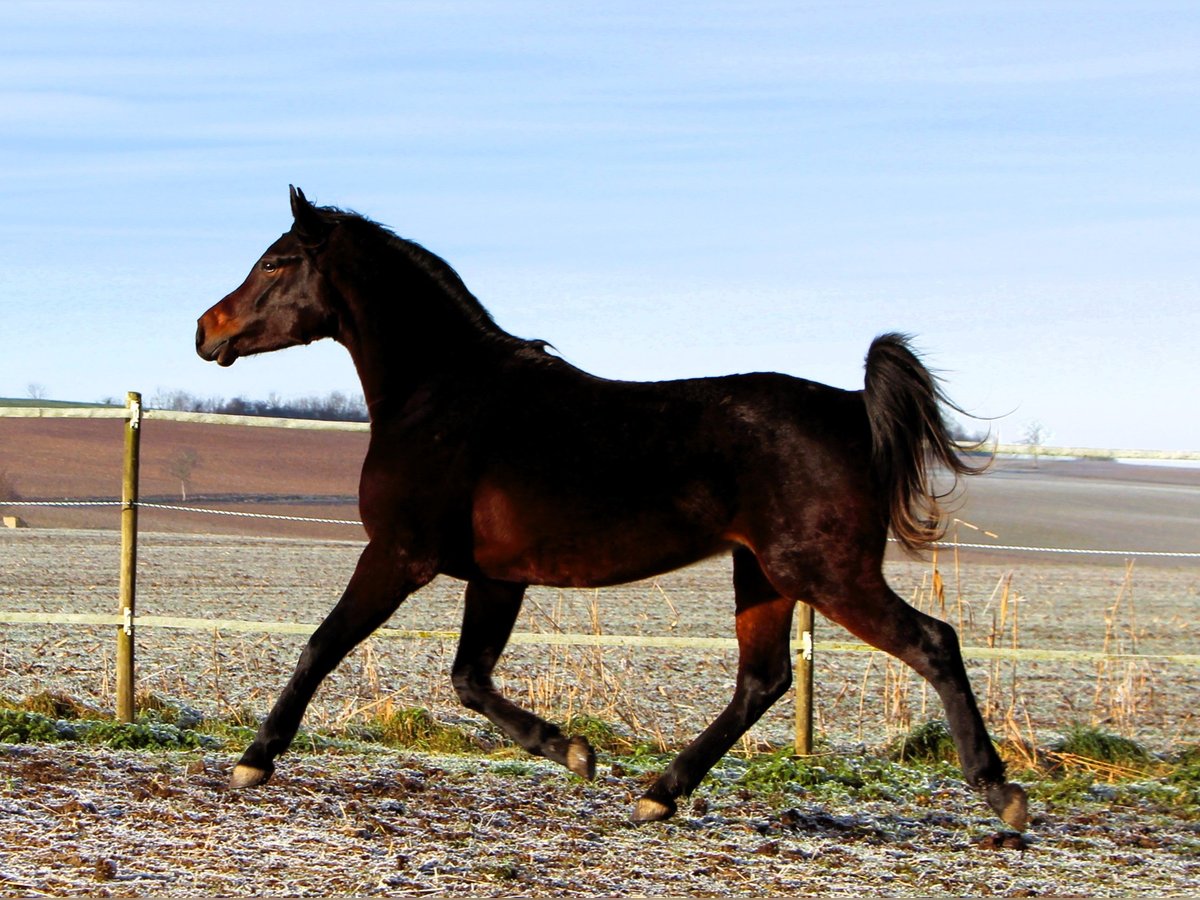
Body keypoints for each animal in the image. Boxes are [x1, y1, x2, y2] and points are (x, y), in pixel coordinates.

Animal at [196, 184, 1032, 830]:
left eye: (275, 260)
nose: (207, 330)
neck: (443, 396)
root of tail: (854, 407)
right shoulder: (497, 576)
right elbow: (469, 678)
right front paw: (571, 750)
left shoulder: (402, 555)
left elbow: (322, 646)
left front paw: (254, 759)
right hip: (764, 575)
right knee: (761, 682)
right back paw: (660, 794)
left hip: (825, 573)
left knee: (932, 642)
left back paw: (1001, 794)